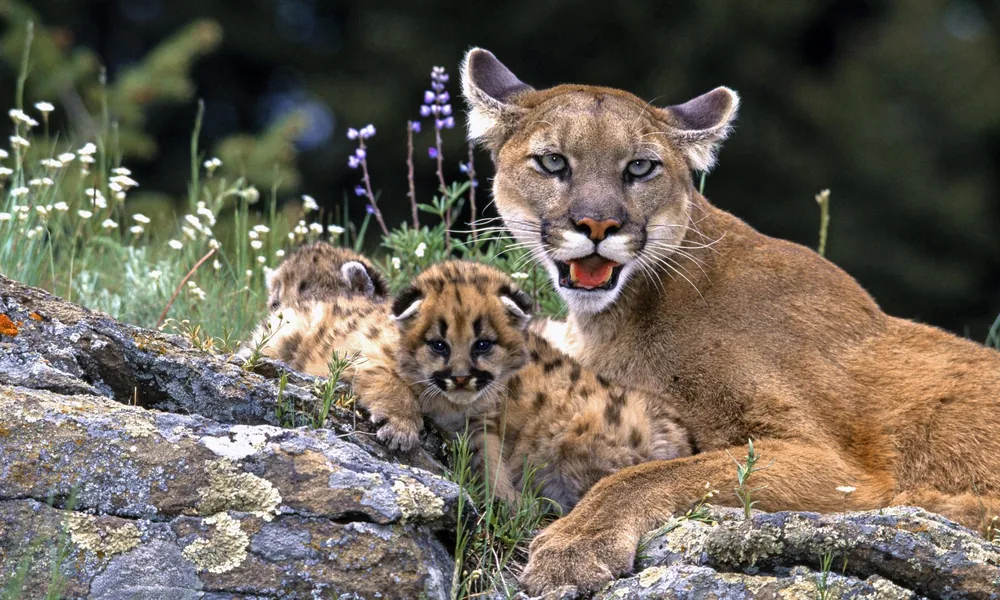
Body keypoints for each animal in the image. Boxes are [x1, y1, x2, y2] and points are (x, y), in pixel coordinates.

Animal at [460, 47, 1000, 594]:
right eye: (553, 161)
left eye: (640, 167)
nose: (597, 224)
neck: (620, 315)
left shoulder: (835, 464)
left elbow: (650, 475)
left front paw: (574, 545)